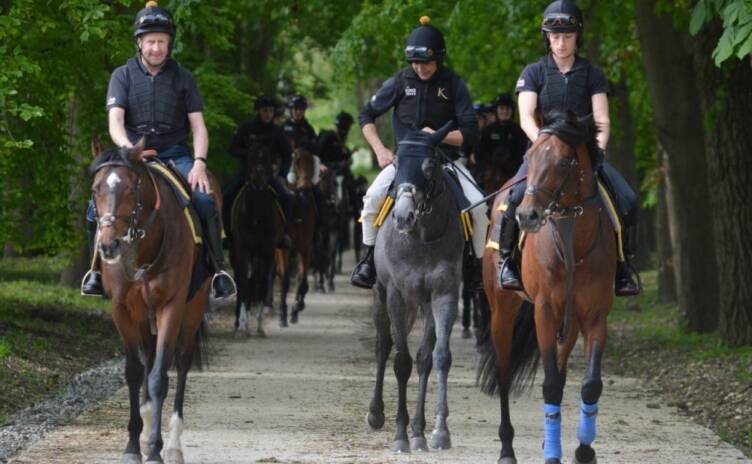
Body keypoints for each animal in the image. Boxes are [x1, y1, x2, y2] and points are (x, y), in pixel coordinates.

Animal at [91, 141, 216, 464]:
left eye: (130, 188)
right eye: (96, 189)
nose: (108, 246)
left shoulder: (170, 307)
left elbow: (160, 376)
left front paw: (156, 448)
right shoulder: (121, 310)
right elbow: (135, 373)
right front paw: (134, 445)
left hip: (192, 309)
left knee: (182, 362)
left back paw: (172, 445)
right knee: (147, 357)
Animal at [229, 143, 282, 336]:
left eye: (267, 158)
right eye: (250, 157)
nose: (259, 179)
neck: (256, 217)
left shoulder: (266, 252)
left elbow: (261, 284)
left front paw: (259, 325)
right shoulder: (243, 250)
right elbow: (244, 284)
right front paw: (242, 325)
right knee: (240, 279)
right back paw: (238, 321)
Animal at [364, 122, 464, 454]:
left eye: (429, 166)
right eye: (395, 163)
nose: (402, 216)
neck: (422, 238)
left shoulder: (443, 296)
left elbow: (436, 358)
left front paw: (434, 432)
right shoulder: (396, 295)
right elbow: (401, 362)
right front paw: (400, 436)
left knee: (421, 356)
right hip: (383, 298)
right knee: (384, 346)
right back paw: (376, 413)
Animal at [478, 109, 612, 464]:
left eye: (564, 162)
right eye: (530, 157)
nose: (528, 215)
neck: (572, 243)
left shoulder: (594, 316)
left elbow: (589, 384)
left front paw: (583, 449)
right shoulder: (545, 312)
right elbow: (550, 383)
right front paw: (553, 453)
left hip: (571, 322)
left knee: (563, 372)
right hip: (501, 311)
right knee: (504, 373)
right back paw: (507, 449)